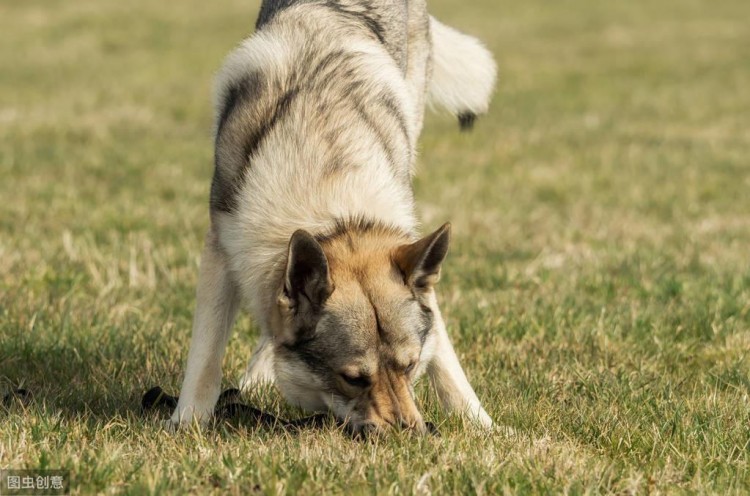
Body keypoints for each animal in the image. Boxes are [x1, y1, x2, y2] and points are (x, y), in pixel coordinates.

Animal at [171, 0, 500, 434]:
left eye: (410, 366)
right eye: (353, 378)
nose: (410, 434)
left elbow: (446, 359)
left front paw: (483, 427)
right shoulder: (221, 247)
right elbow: (206, 356)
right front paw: (185, 423)